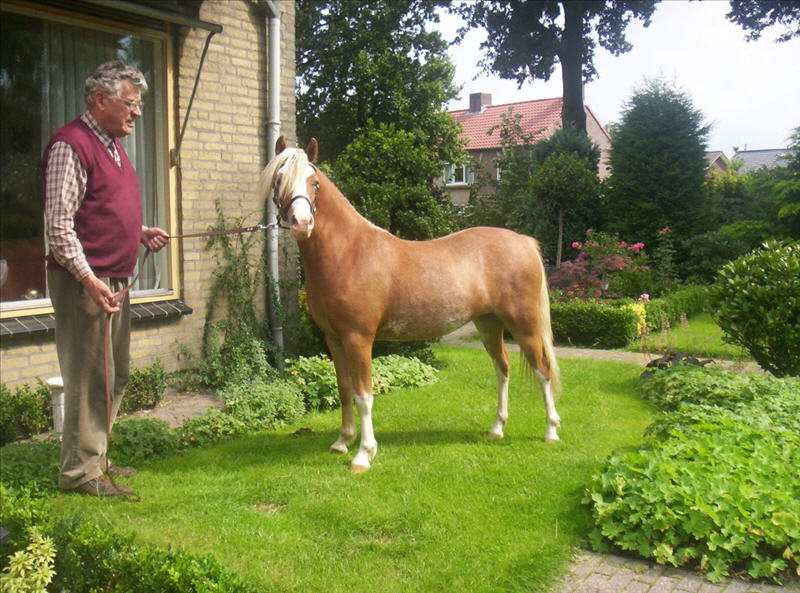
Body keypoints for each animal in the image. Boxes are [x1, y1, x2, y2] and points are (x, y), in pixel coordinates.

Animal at [262, 135, 564, 472]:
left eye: (314, 183)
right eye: (279, 179)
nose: (302, 223)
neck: (349, 253)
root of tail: (524, 242)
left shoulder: (358, 339)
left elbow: (363, 395)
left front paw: (364, 454)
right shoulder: (333, 339)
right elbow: (344, 388)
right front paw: (342, 442)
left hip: (525, 326)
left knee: (542, 370)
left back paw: (551, 431)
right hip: (489, 324)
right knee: (503, 368)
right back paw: (497, 428)